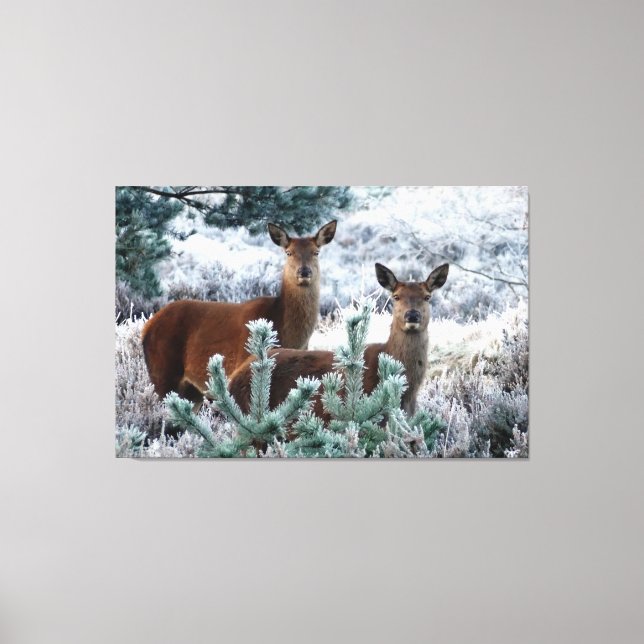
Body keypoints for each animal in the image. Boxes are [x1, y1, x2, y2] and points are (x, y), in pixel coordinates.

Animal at [141, 220, 337, 410]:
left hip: (191, 391)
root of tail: (147, 327)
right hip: (163, 373)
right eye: (289, 252)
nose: (304, 271)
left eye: (316, 252)